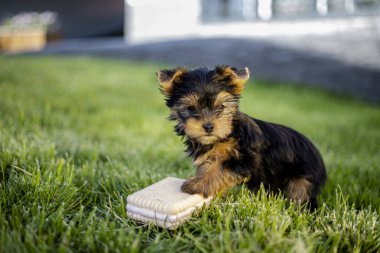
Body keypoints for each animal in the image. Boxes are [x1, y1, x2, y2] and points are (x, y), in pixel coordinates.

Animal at [157, 65, 326, 210]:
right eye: (191, 109)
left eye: (221, 107)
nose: (209, 127)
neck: (228, 133)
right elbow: (210, 168)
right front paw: (205, 184)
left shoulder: (247, 158)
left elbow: (221, 170)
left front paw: (198, 185)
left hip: (303, 179)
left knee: (301, 195)